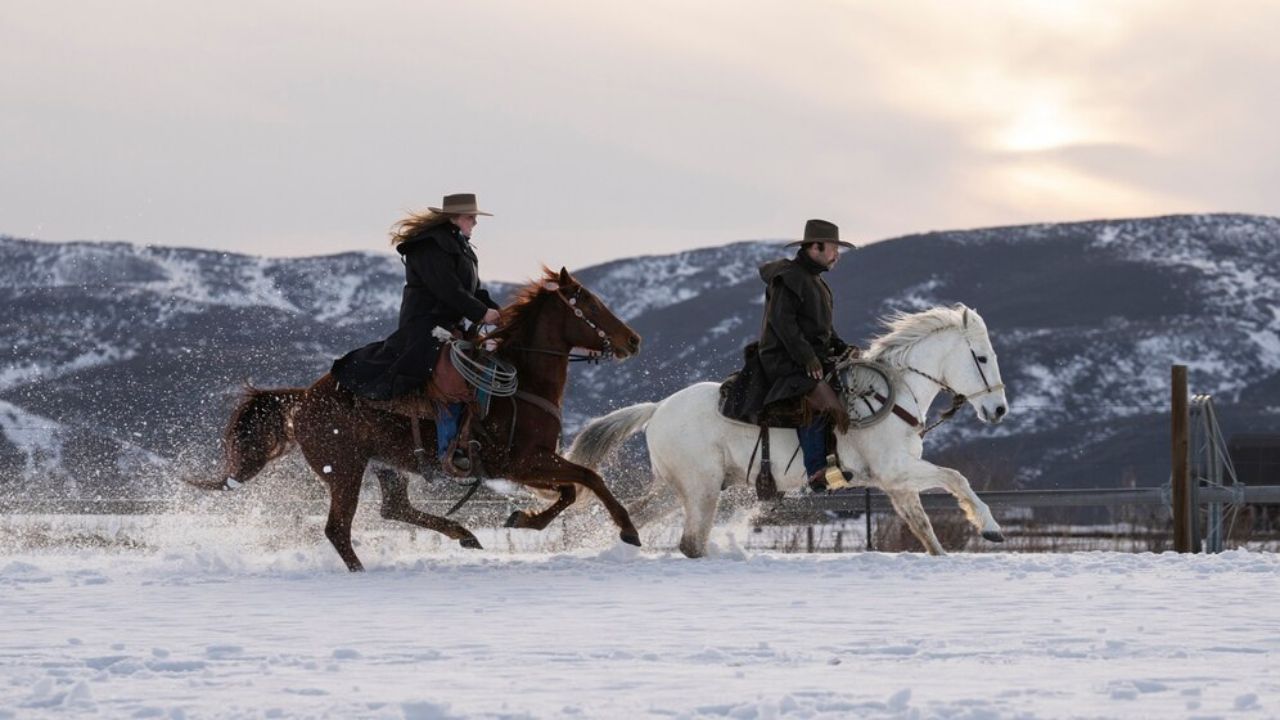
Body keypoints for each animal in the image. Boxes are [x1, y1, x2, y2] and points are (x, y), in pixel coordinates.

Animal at [193, 266, 640, 568]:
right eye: (590, 302)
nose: (633, 340)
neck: (524, 381)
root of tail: (303, 398)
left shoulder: (529, 465)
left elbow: (569, 490)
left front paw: (521, 518)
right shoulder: (521, 462)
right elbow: (588, 478)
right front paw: (628, 529)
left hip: (387, 465)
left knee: (394, 509)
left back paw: (464, 535)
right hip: (344, 470)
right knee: (339, 528)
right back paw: (363, 570)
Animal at [570, 302, 1008, 556]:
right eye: (983, 357)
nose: (999, 409)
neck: (892, 394)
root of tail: (658, 408)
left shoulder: (897, 484)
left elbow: (925, 530)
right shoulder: (897, 471)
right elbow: (957, 478)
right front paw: (990, 528)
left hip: (674, 488)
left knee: (636, 514)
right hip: (701, 487)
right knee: (691, 542)